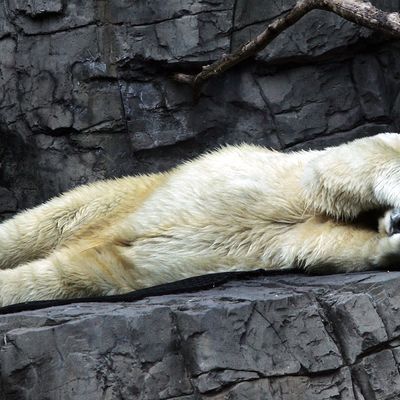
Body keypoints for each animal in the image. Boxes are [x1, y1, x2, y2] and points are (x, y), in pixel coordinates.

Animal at [0, 133, 400, 304]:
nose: (395, 221)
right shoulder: (307, 175)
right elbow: (336, 167)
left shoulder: (305, 235)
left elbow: (328, 246)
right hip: (119, 197)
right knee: (38, 225)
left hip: (109, 263)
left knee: (59, 276)